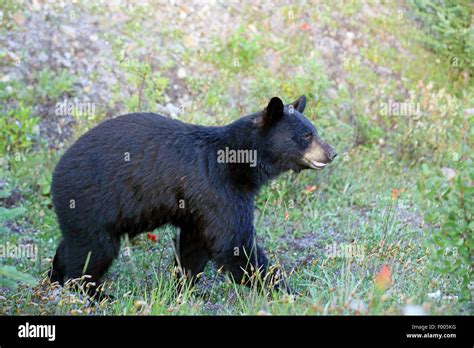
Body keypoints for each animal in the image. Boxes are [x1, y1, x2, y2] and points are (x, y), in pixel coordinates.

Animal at [49, 96, 336, 296]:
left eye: (314, 131)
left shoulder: (199, 207)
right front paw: (287, 292)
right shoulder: (219, 190)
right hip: (92, 202)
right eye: (306, 135)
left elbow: (194, 246)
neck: (239, 162)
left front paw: (183, 289)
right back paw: (92, 293)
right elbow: (233, 245)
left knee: (73, 246)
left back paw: (54, 278)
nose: (332, 153)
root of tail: (57, 170)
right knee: (92, 252)